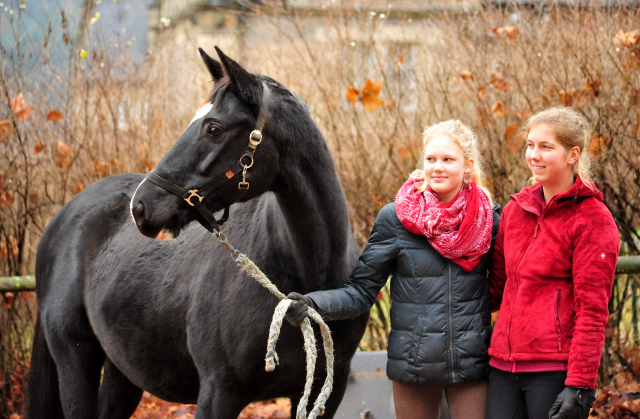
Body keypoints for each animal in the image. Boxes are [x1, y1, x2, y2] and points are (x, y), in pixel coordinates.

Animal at [28, 46, 370, 419]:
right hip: (76, 361)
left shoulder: (327, 392)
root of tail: (61, 220)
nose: (141, 206)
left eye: (213, 128)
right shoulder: (219, 391)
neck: (308, 280)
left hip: (122, 371)